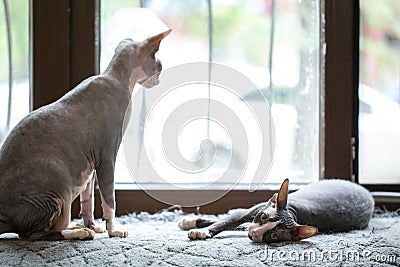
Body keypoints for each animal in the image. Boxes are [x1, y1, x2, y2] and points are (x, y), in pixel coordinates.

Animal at [0, 29, 170, 241]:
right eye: (160, 67)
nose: (159, 80)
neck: (117, 77)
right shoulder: (107, 157)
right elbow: (109, 199)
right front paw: (113, 230)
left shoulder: (90, 163)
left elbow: (88, 199)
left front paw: (94, 225)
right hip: (58, 189)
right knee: (34, 235)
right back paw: (79, 232)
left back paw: (81, 227)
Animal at [180, 179, 374, 244]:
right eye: (263, 216)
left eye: (273, 236)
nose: (255, 233)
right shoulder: (248, 214)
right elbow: (224, 222)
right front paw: (199, 229)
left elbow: (230, 223)